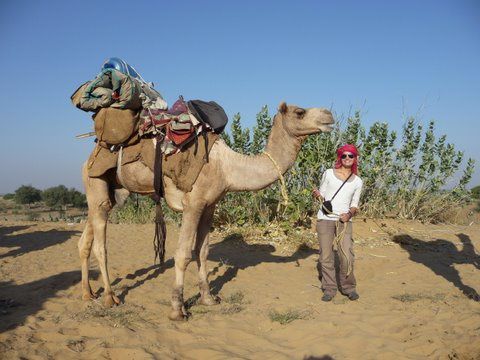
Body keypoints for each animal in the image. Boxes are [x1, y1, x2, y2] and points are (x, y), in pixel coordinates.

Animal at [79, 102, 334, 320]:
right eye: (300, 112)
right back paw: (109, 298)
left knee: (86, 238)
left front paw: (208, 299)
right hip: (96, 179)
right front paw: (178, 310)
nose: (329, 116)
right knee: (101, 244)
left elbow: (202, 252)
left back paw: (88, 294)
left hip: (111, 191)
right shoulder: (193, 203)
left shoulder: (210, 205)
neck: (228, 167)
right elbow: (183, 254)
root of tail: (90, 155)